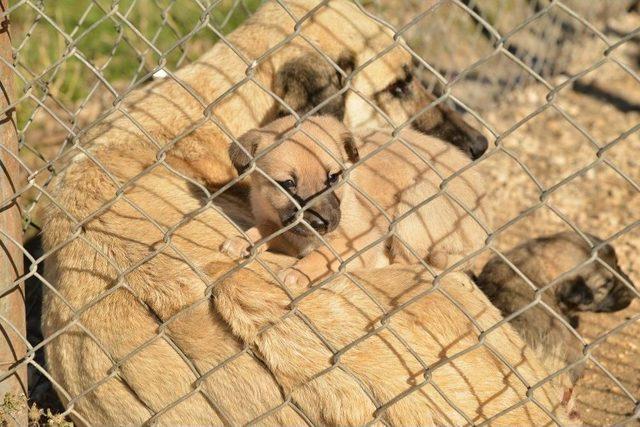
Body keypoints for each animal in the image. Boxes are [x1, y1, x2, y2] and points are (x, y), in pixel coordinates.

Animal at [222, 115, 488, 286]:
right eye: (287, 184)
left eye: (333, 177)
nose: (322, 225)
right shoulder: (286, 230)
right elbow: (267, 229)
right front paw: (243, 240)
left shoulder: (361, 237)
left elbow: (322, 255)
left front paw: (298, 273)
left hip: (414, 206)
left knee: (406, 261)